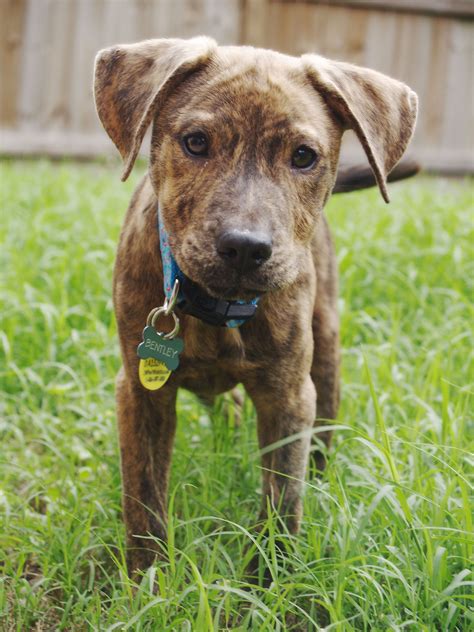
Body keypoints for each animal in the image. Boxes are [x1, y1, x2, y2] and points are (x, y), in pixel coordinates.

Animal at [93, 37, 418, 576]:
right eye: (196, 143)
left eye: (304, 156)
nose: (245, 247)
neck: (216, 306)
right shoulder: (140, 391)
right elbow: (143, 498)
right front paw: (148, 580)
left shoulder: (288, 394)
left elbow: (283, 498)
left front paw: (268, 579)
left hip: (326, 344)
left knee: (321, 428)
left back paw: (323, 479)